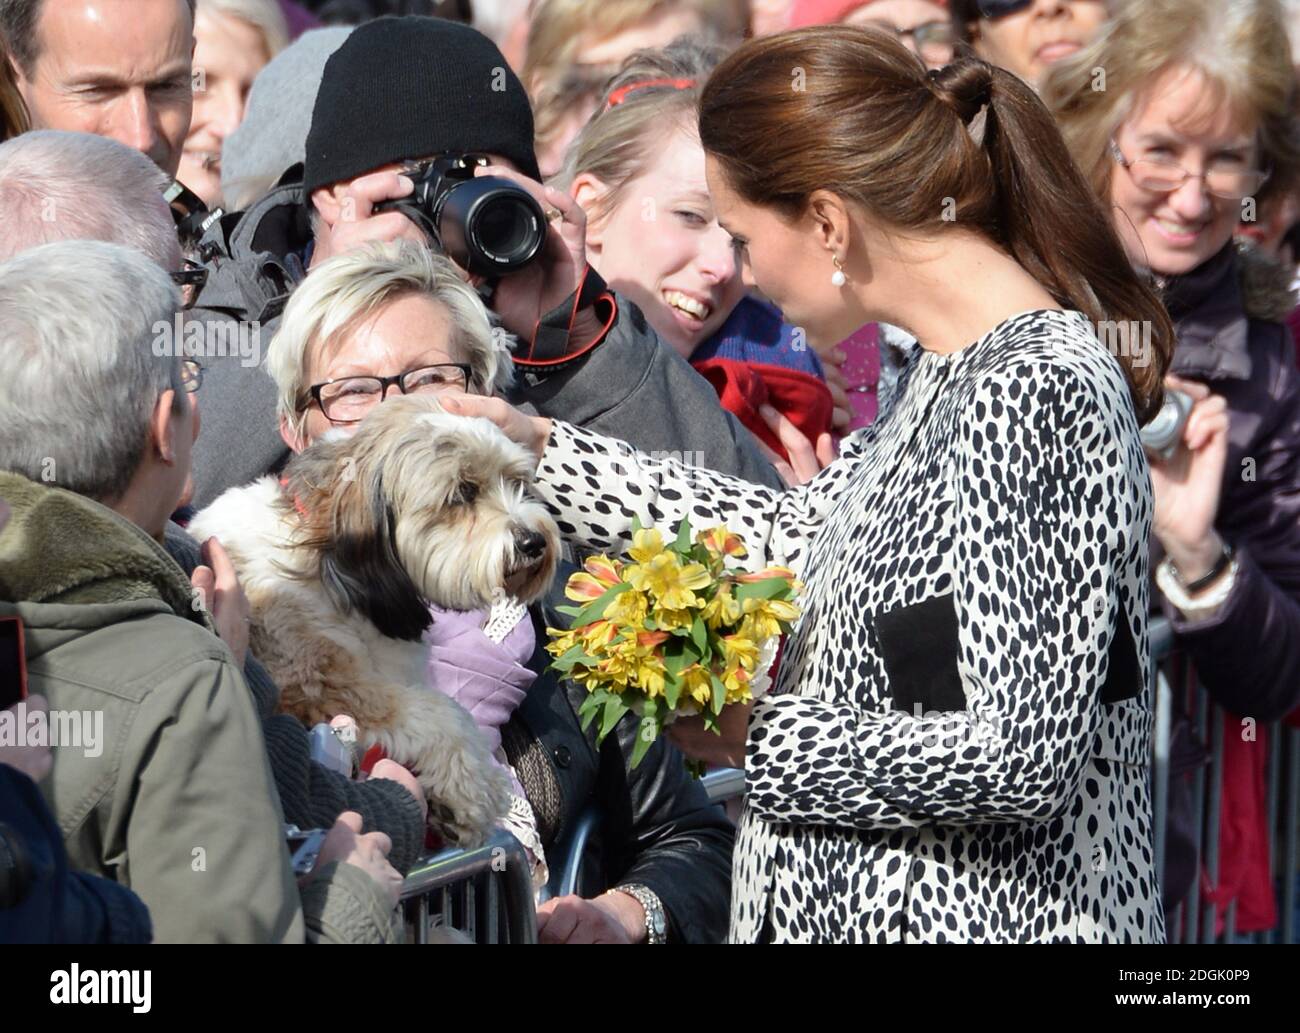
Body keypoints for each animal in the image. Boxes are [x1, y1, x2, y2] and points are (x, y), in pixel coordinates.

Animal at [187, 397, 559, 847]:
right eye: (463, 493)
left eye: (516, 481)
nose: (533, 541)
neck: (326, 564)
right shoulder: (319, 683)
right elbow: (443, 713)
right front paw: (475, 791)